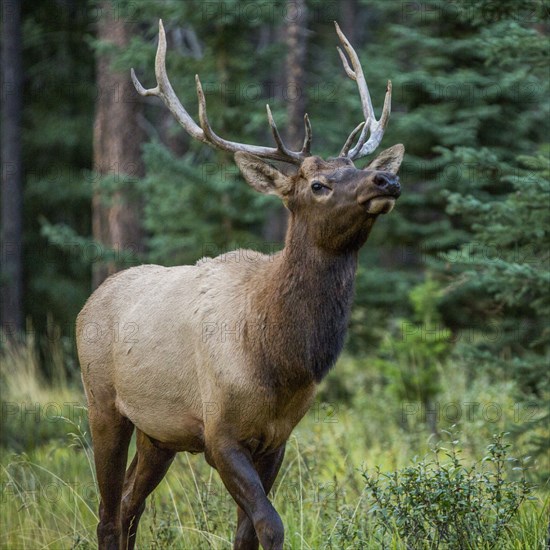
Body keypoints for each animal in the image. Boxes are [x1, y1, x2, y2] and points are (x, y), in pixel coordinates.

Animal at [76, 18, 406, 550]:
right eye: (318, 185)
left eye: (356, 168)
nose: (385, 181)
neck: (279, 357)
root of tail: (90, 301)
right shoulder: (219, 433)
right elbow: (271, 525)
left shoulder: (277, 439)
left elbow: (247, 533)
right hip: (103, 402)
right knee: (107, 512)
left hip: (158, 433)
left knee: (129, 506)